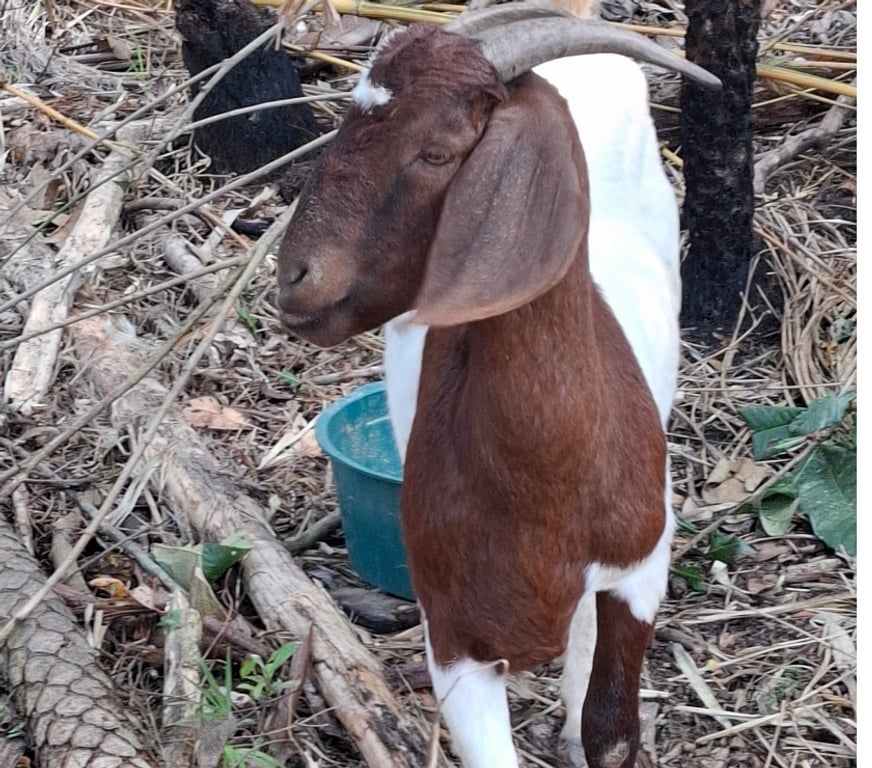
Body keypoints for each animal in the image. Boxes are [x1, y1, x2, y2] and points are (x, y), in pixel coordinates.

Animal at [277, 7, 718, 767]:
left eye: (435, 152)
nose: (293, 277)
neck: (549, 474)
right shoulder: (454, 640)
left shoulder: (641, 571)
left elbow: (611, 731)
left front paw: (584, 725)